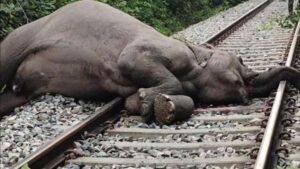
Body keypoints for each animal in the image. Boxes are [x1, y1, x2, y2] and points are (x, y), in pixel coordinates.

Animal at [0, 0, 300, 124]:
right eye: (240, 60)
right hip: (20, 38)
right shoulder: (152, 49)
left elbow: (131, 102)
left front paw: (154, 105)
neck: (195, 61)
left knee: (12, 96)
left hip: (22, 89)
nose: (247, 94)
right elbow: (134, 62)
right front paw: (151, 100)